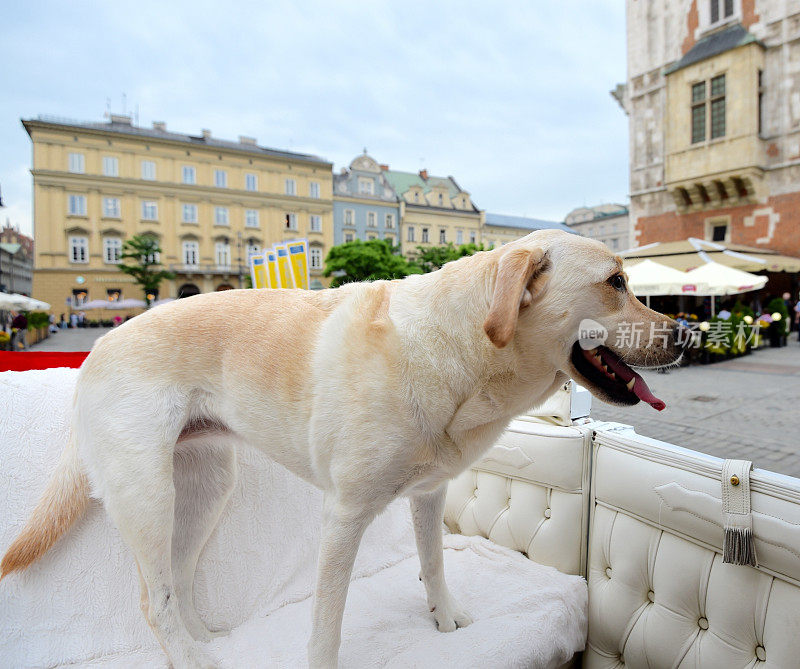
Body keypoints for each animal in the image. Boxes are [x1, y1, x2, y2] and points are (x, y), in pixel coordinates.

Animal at [1, 228, 680, 664]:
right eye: (617, 282)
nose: (687, 333)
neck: (457, 346)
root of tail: (95, 352)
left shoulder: (429, 495)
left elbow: (434, 564)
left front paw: (445, 621)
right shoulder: (345, 516)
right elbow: (327, 626)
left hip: (205, 487)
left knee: (181, 577)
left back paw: (205, 643)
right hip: (147, 495)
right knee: (154, 601)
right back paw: (192, 659)